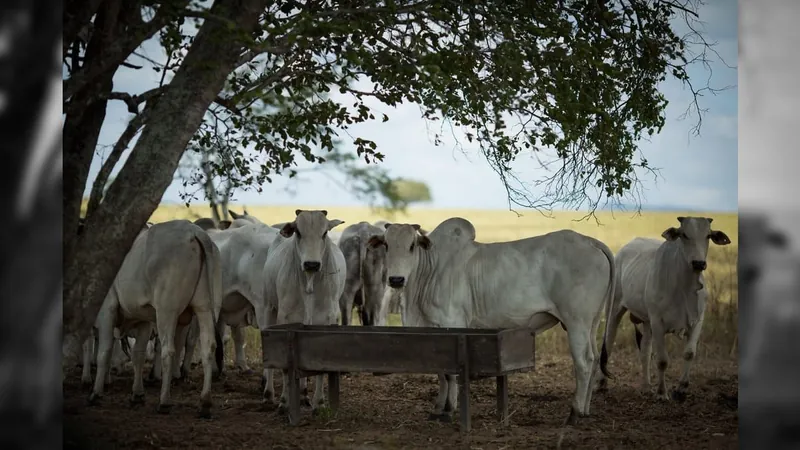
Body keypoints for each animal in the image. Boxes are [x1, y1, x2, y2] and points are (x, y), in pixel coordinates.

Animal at [260, 209, 346, 414]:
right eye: (298, 232)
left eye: (324, 233)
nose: (311, 264)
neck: (309, 282)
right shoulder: (285, 320)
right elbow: (285, 366)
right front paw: (284, 402)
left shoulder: (325, 322)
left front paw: (319, 403)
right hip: (268, 308)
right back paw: (268, 394)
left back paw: (304, 395)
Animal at [372, 220, 616, 424]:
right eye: (386, 245)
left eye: (412, 245)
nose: (396, 279)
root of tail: (590, 241)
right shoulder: (433, 332)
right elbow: (440, 371)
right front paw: (438, 408)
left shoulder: (453, 323)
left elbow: (450, 373)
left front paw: (449, 410)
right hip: (591, 323)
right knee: (595, 358)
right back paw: (585, 410)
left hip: (576, 323)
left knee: (584, 362)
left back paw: (574, 413)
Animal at [600, 215, 732, 400]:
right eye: (684, 234)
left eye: (708, 235)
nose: (699, 263)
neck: (685, 287)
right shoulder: (657, 322)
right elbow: (662, 360)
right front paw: (662, 393)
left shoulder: (697, 320)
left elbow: (689, 353)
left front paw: (681, 388)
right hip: (615, 309)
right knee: (609, 342)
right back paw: (601, 383)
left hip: (646, 321)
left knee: (645, 351)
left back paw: (646, 386)